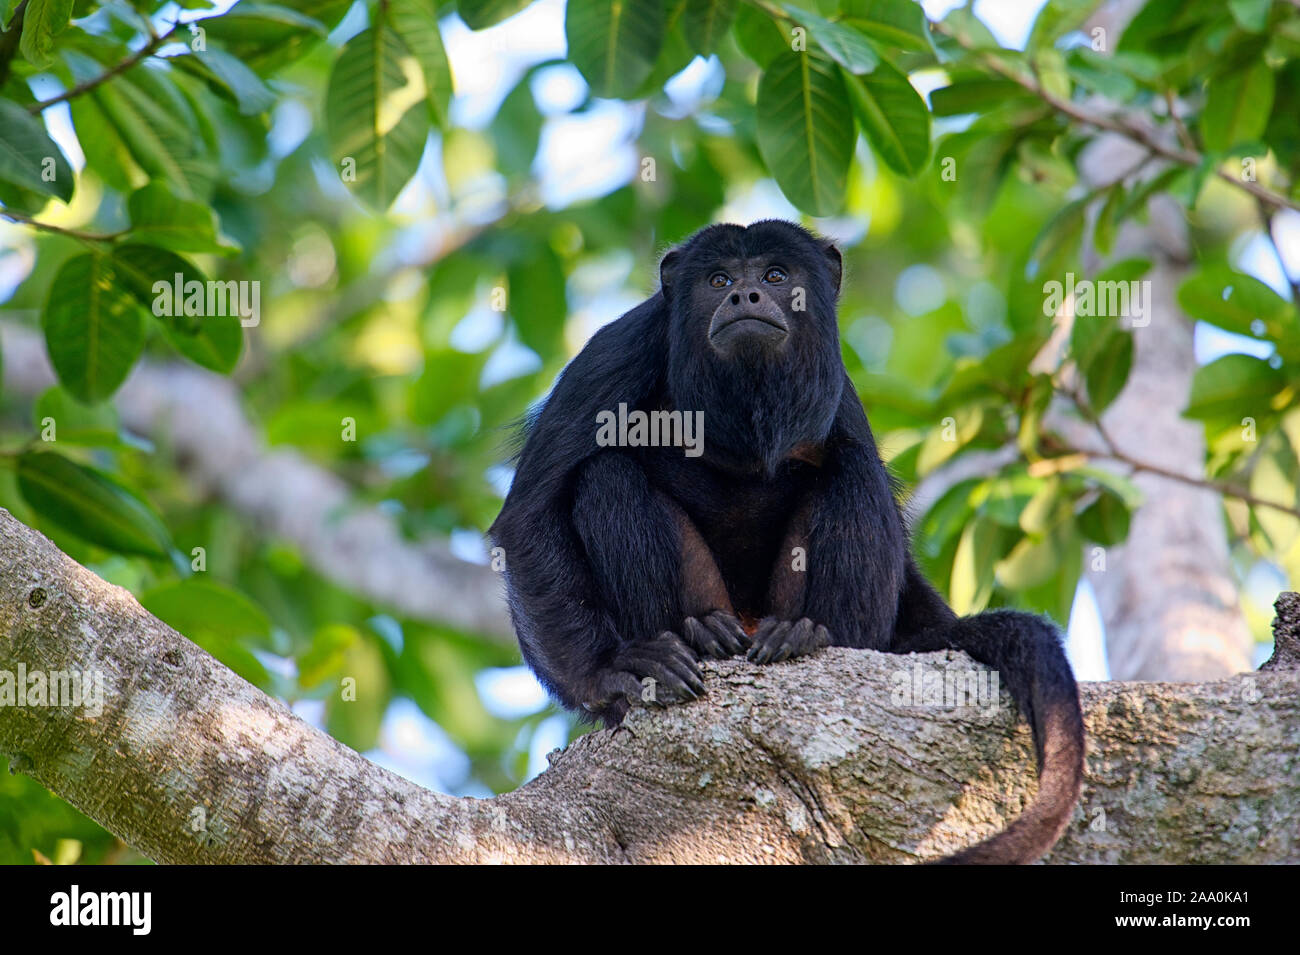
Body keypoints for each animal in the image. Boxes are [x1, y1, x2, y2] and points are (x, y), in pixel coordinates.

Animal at [491, 220, 1081, 862]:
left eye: (776, 275)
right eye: (718, 279)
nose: (744, 295)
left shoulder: (837, 386)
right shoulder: (618, 349)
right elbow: (528, 517)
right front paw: (610, 671)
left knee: (851, 469)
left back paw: (812, 635)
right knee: (606, 475)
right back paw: (694, 634)